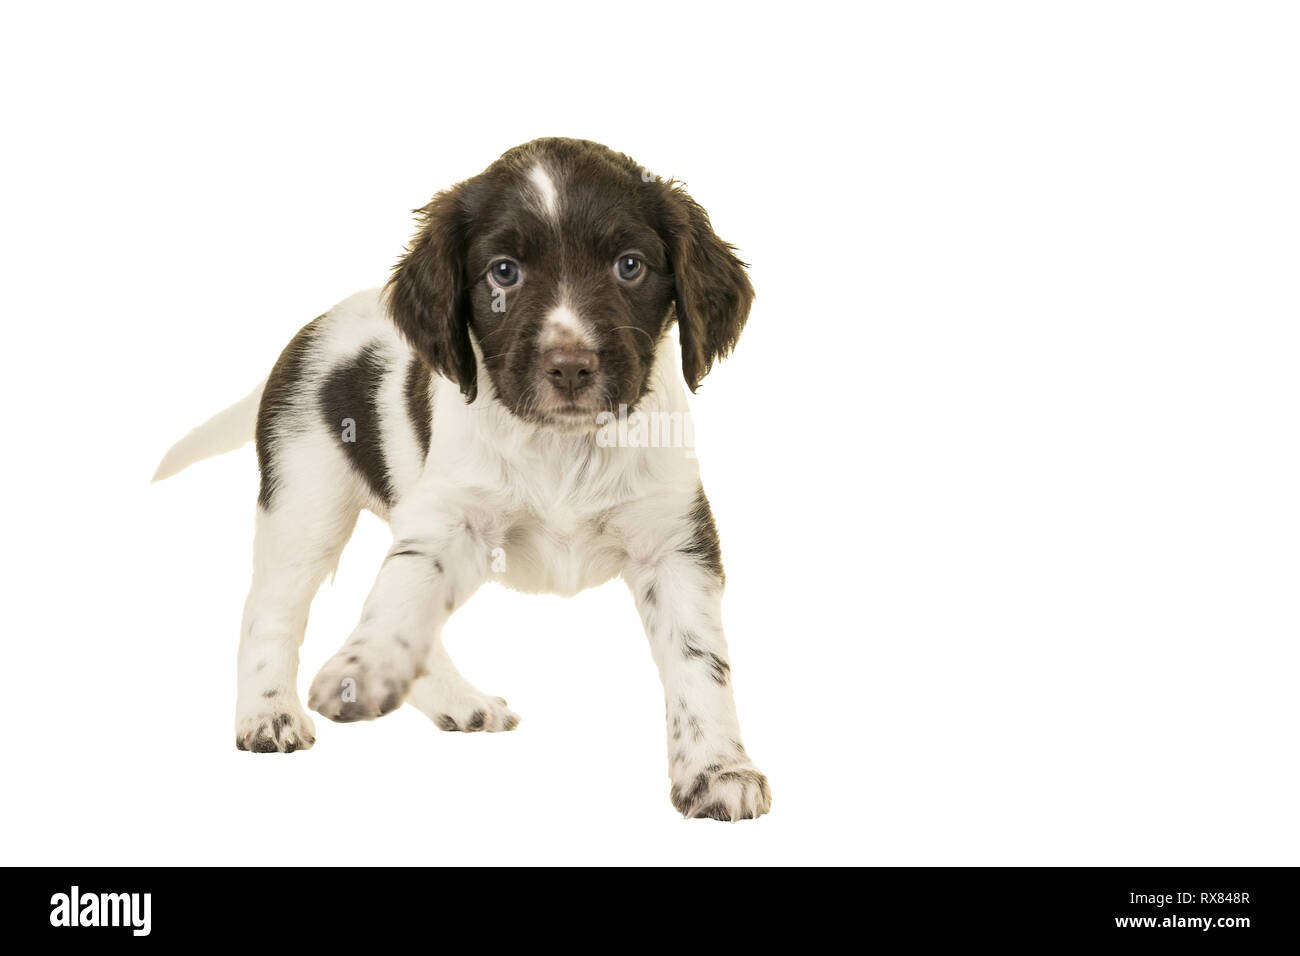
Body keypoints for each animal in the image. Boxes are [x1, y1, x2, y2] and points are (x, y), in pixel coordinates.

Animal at [162, 136, 769, 822]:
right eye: (503, 272)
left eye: (630, 266)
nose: (570, 366)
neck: (564, 448)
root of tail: (305, 337)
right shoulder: (452, 522)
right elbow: (399, 598)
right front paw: (363, 666)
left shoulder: (673, 539)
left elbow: (699, 660)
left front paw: (718, 770)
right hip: (303, 503)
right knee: (269, 610)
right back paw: (267, 716)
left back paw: (459, 702)